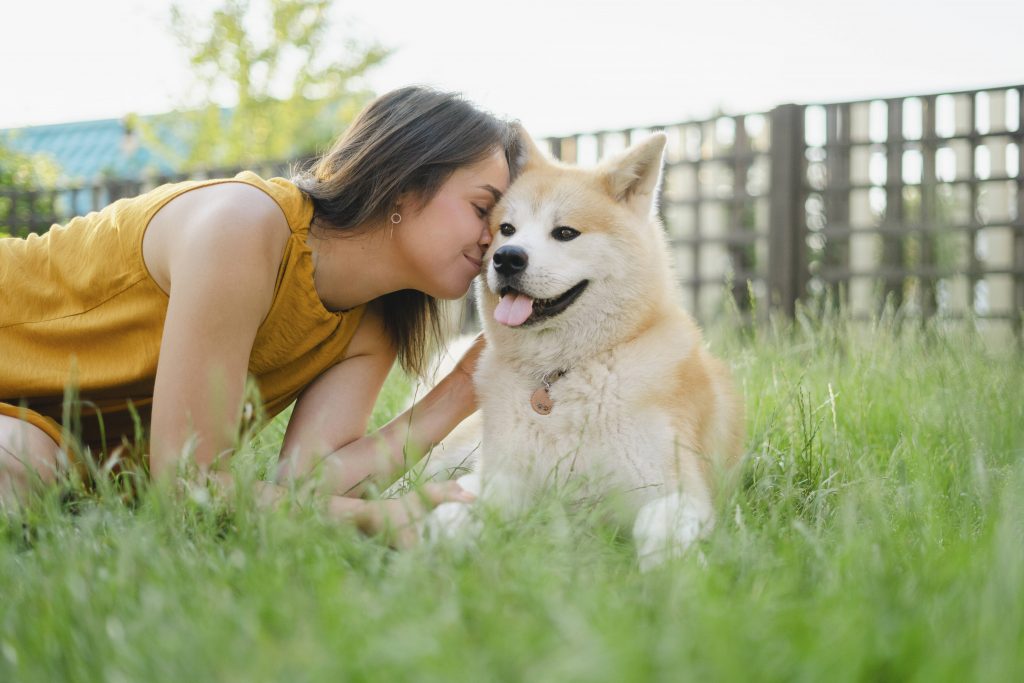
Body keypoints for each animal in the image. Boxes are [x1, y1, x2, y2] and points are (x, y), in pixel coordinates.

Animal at [409, 127, 745, 573]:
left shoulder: (678, 491)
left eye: (565, 232)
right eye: (507, 228)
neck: (564, 374)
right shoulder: (501, 477)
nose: (506, 258)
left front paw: (672, 577)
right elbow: (452, 513)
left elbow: (656, 530)